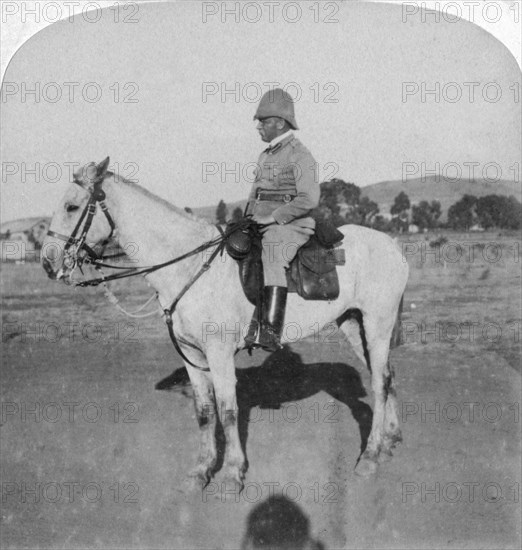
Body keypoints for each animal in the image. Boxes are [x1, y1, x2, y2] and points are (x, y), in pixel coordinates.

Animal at [42, 160, 406, 492]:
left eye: (72, 206)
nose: (48, 262)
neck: (189, 266)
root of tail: (392, 245)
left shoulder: (218, 354)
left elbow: (227, 409)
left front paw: (232, 473)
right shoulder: (192, 355)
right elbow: (205, 412)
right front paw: (201, 471)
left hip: (377, 324)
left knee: (379, 383)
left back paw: (370, 457)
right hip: (353, 324)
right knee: (386, 377)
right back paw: (389, 440)